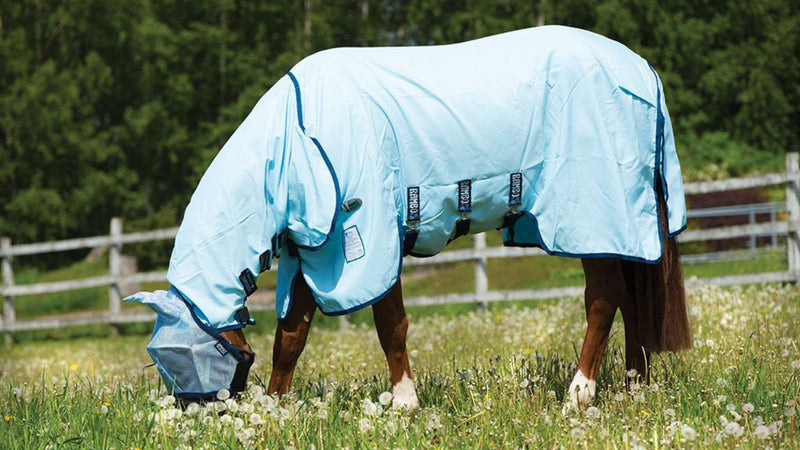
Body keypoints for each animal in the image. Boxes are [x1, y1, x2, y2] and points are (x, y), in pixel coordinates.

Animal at [128, 25, 691, 410]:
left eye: (179, 356)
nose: (193, 414)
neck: (299, 135)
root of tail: (641, 69)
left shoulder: (368, 236)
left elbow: (388, 323)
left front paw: (404, 403)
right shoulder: (316, 247)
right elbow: (291, 337)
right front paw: (276, 408)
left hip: (594, 218)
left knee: (604, 298)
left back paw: (579, 393)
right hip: (620, 225)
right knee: (632, 301)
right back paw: (633, 388)